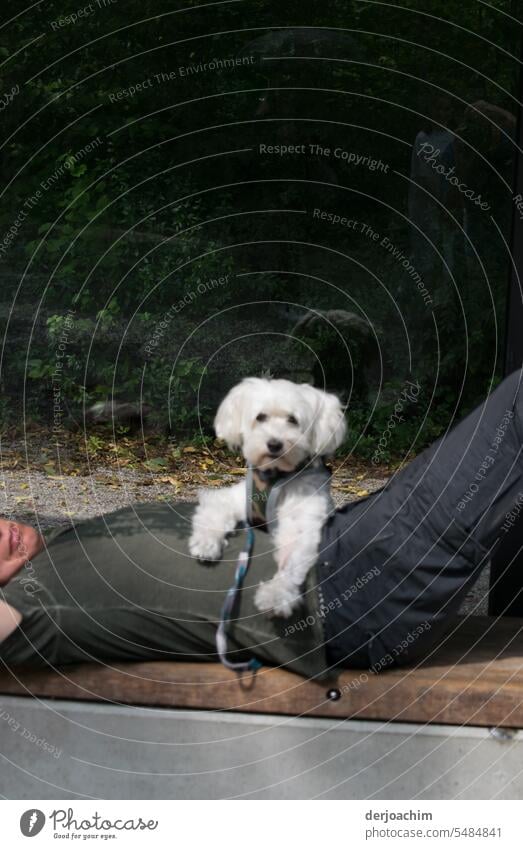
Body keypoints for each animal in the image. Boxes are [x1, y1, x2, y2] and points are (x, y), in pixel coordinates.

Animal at [189, 378, 348, 616]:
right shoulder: (237, 499)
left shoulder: (302, 518)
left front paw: (276, 592)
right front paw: (206, 543)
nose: (274, 444)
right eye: (260, 417)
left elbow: (291, 557)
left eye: (293, 420)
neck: (274, 474)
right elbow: (215, 512)